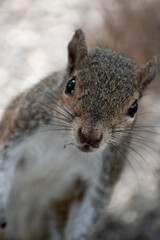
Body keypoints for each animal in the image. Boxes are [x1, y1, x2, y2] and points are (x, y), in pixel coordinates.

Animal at [0, 29, 158, 239]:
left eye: (134, 107)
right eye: (70, 84)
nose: (90, 135)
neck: (67, 145)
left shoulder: (102, 176)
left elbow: (87, 212)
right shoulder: (20, 127)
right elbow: (5, 162)